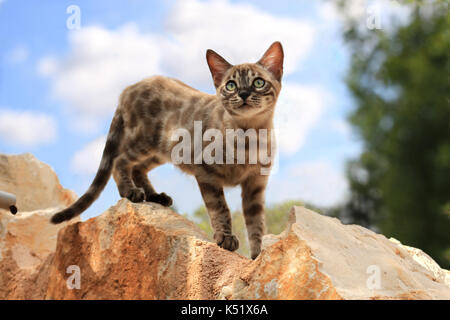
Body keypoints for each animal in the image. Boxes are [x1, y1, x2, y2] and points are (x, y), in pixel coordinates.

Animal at [51, 41, 284, 260]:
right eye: (231, 85)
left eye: (258, 82)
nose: (243, 93)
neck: (249, 136)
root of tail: (129, 88)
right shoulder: (206, 172)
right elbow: (220, 208)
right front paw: (225, 238)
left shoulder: (255, 184)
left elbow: (256, 224)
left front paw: (257, 255)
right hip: (144, 141)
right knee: (120, 161)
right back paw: (131, 191)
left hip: (162, 151)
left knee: (138, 168)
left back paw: (155, 196)